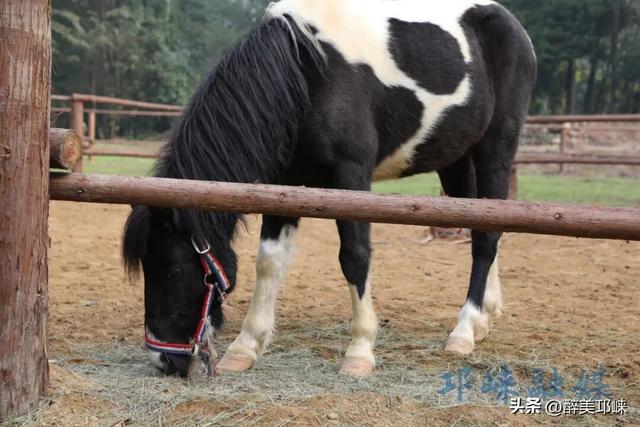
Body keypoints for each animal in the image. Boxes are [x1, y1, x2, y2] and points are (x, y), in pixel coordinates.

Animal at [123, 0, 537, 378]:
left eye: (172, 268)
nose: (163, 360)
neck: (309, 73)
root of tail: (512, 25)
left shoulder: (351, 178)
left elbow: (354, 257)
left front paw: (360, 350)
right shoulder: (284, 184)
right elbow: (268, 261)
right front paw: (245, 347)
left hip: (495, 148)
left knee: (486, 236)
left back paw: (465, 330)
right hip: (455, 161)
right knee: (484, 224)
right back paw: (485, 316)